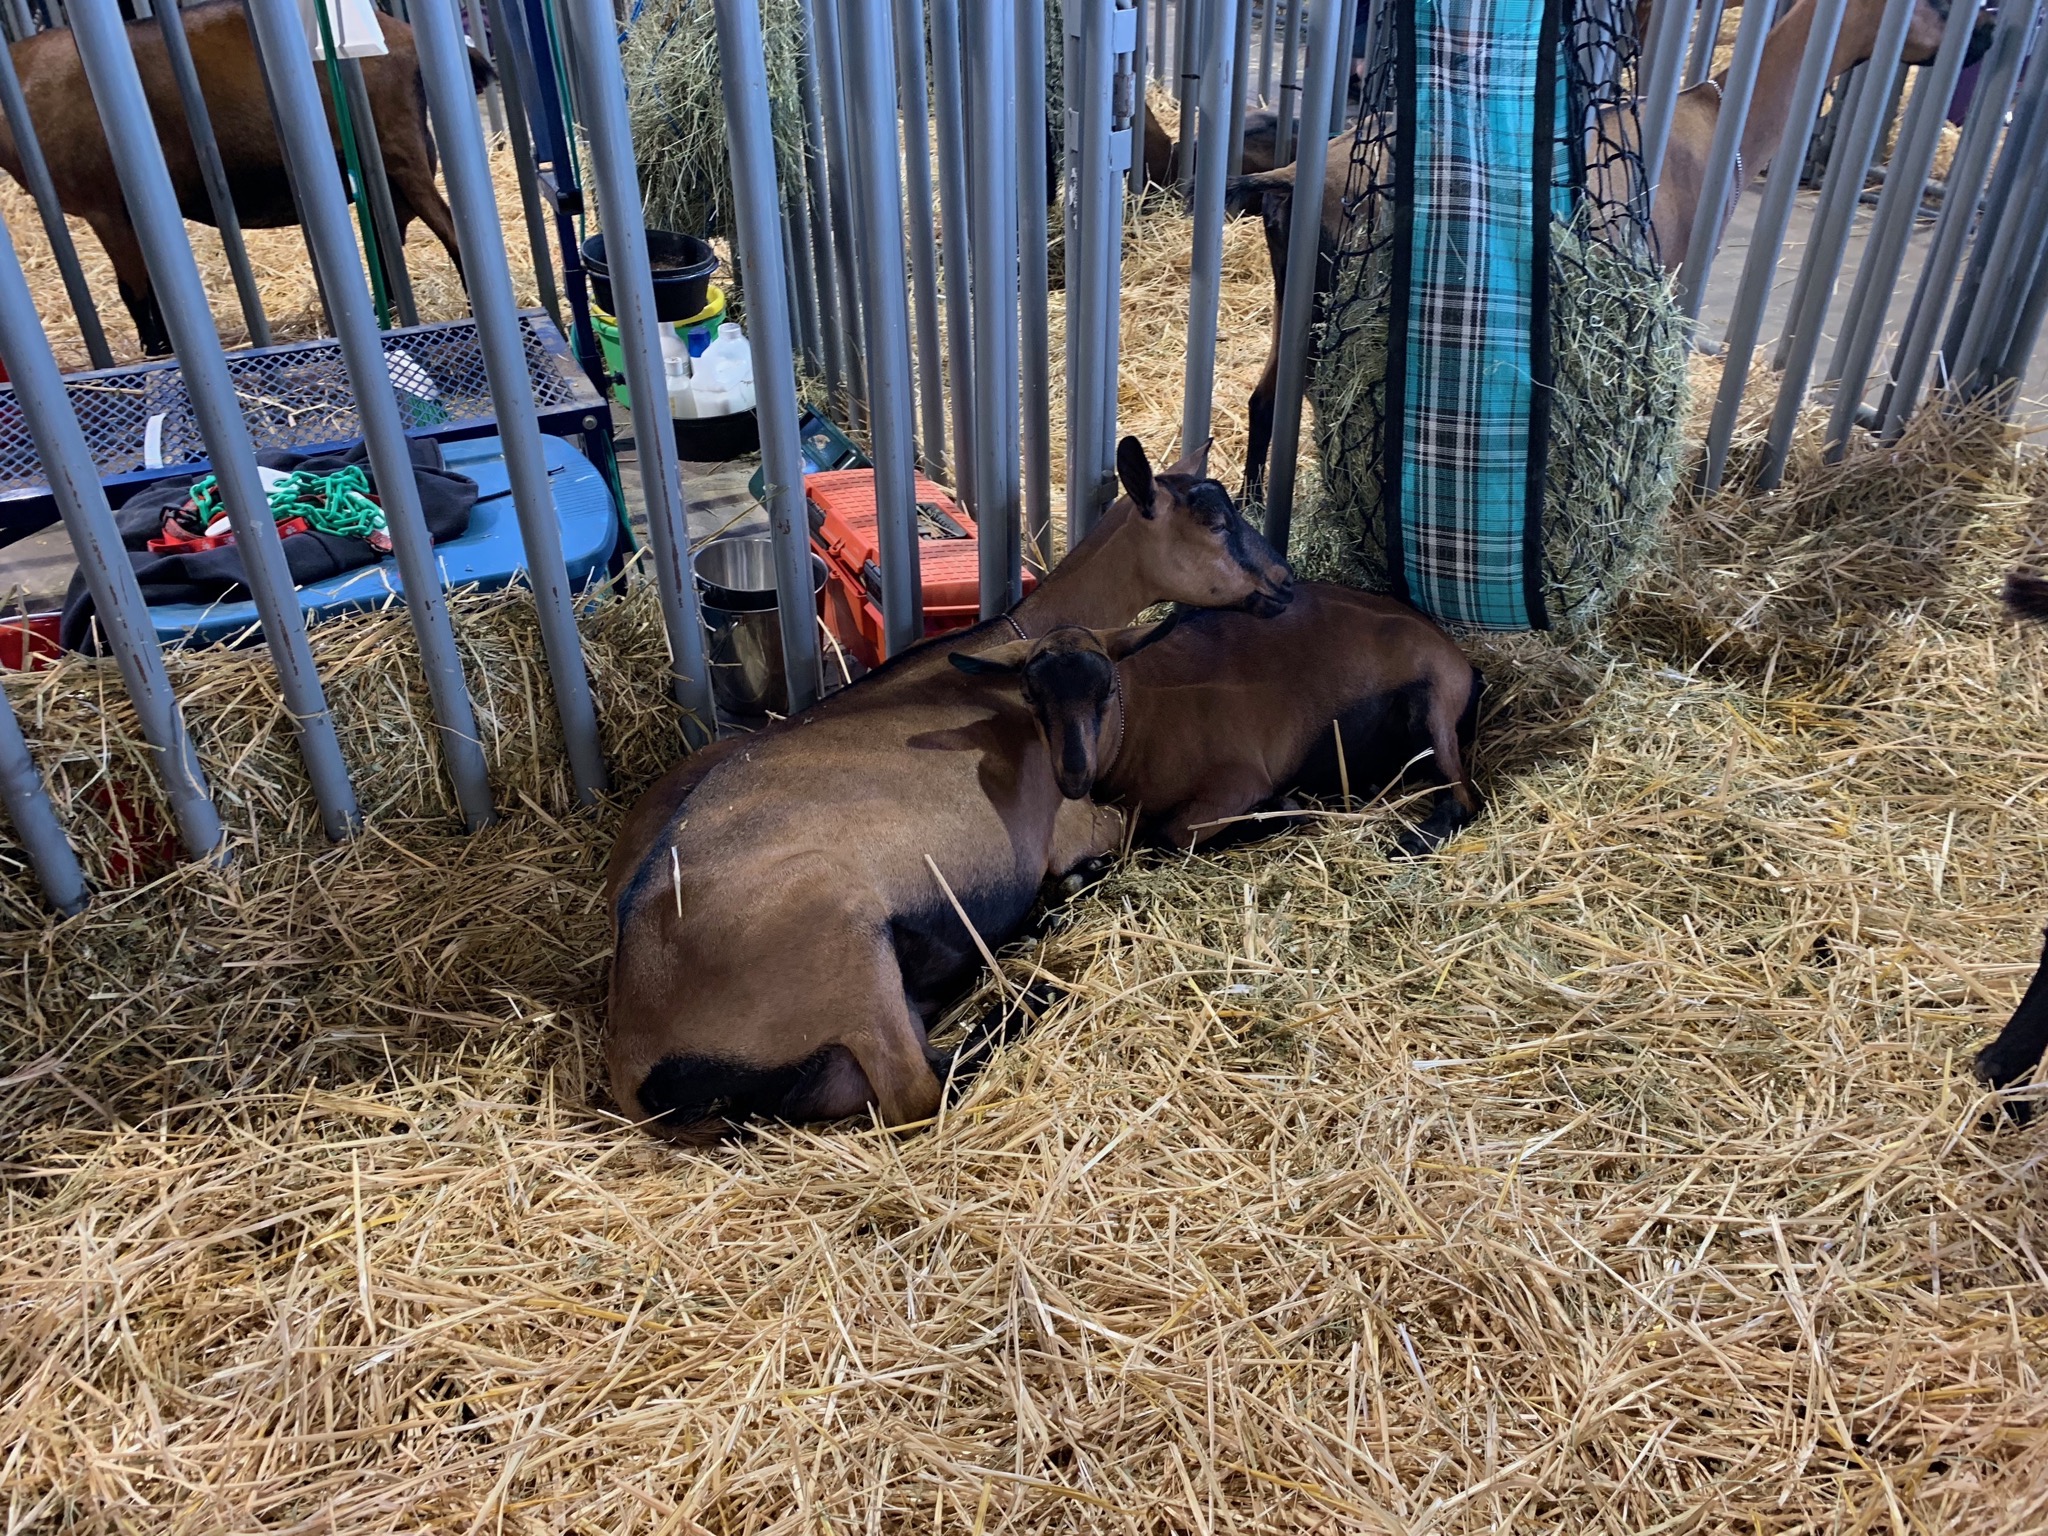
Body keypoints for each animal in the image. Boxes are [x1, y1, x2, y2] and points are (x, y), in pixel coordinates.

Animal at [0, 2, 490, 358]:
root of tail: (403, 36)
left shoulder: (105, 207)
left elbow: (134, 291)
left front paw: (156, 351)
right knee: (393, 234)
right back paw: (380, 308)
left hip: (398, 150)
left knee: (448, 229)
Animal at [603, 436, 1294, 1143]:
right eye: (1213, 518)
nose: (1284, 582)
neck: (1008, 644)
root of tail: (638, 1063)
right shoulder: (1076, 822)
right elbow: (1146, 829)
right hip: (844, 941)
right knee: (916, 1092)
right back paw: (1034, 990)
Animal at [951, 583, 1481, 855]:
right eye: (1029, 695)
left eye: (1107, 691)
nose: (1075, 773)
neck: (1137, 725)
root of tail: (1463, 662)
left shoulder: (1236, 783)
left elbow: (1168, 837)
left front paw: (1281, 811)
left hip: (1436, 701)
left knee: (1462, 799)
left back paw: (1412, 841)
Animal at [1235, 0, 1996, 498]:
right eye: (1936, 3)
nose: (1987, 36)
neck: (1722, 121)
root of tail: (1291, 179)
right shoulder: (1671, 277)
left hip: (1297, 304)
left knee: (1264, 403)